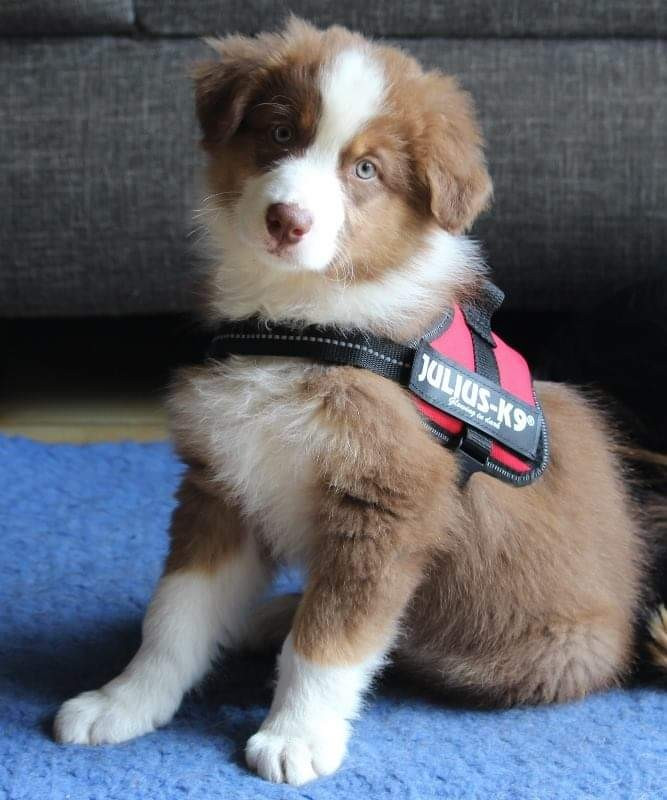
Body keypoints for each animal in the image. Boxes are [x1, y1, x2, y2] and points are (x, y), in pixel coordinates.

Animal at [54, 18, 667, 786]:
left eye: (367, 170)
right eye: (280, 132)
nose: (287, 220)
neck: (300, 326)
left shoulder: (386, 510)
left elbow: (331, 638)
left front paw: (296, 735)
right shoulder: (220, 484)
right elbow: (174, 613)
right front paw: (124, 702)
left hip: (532, 655)